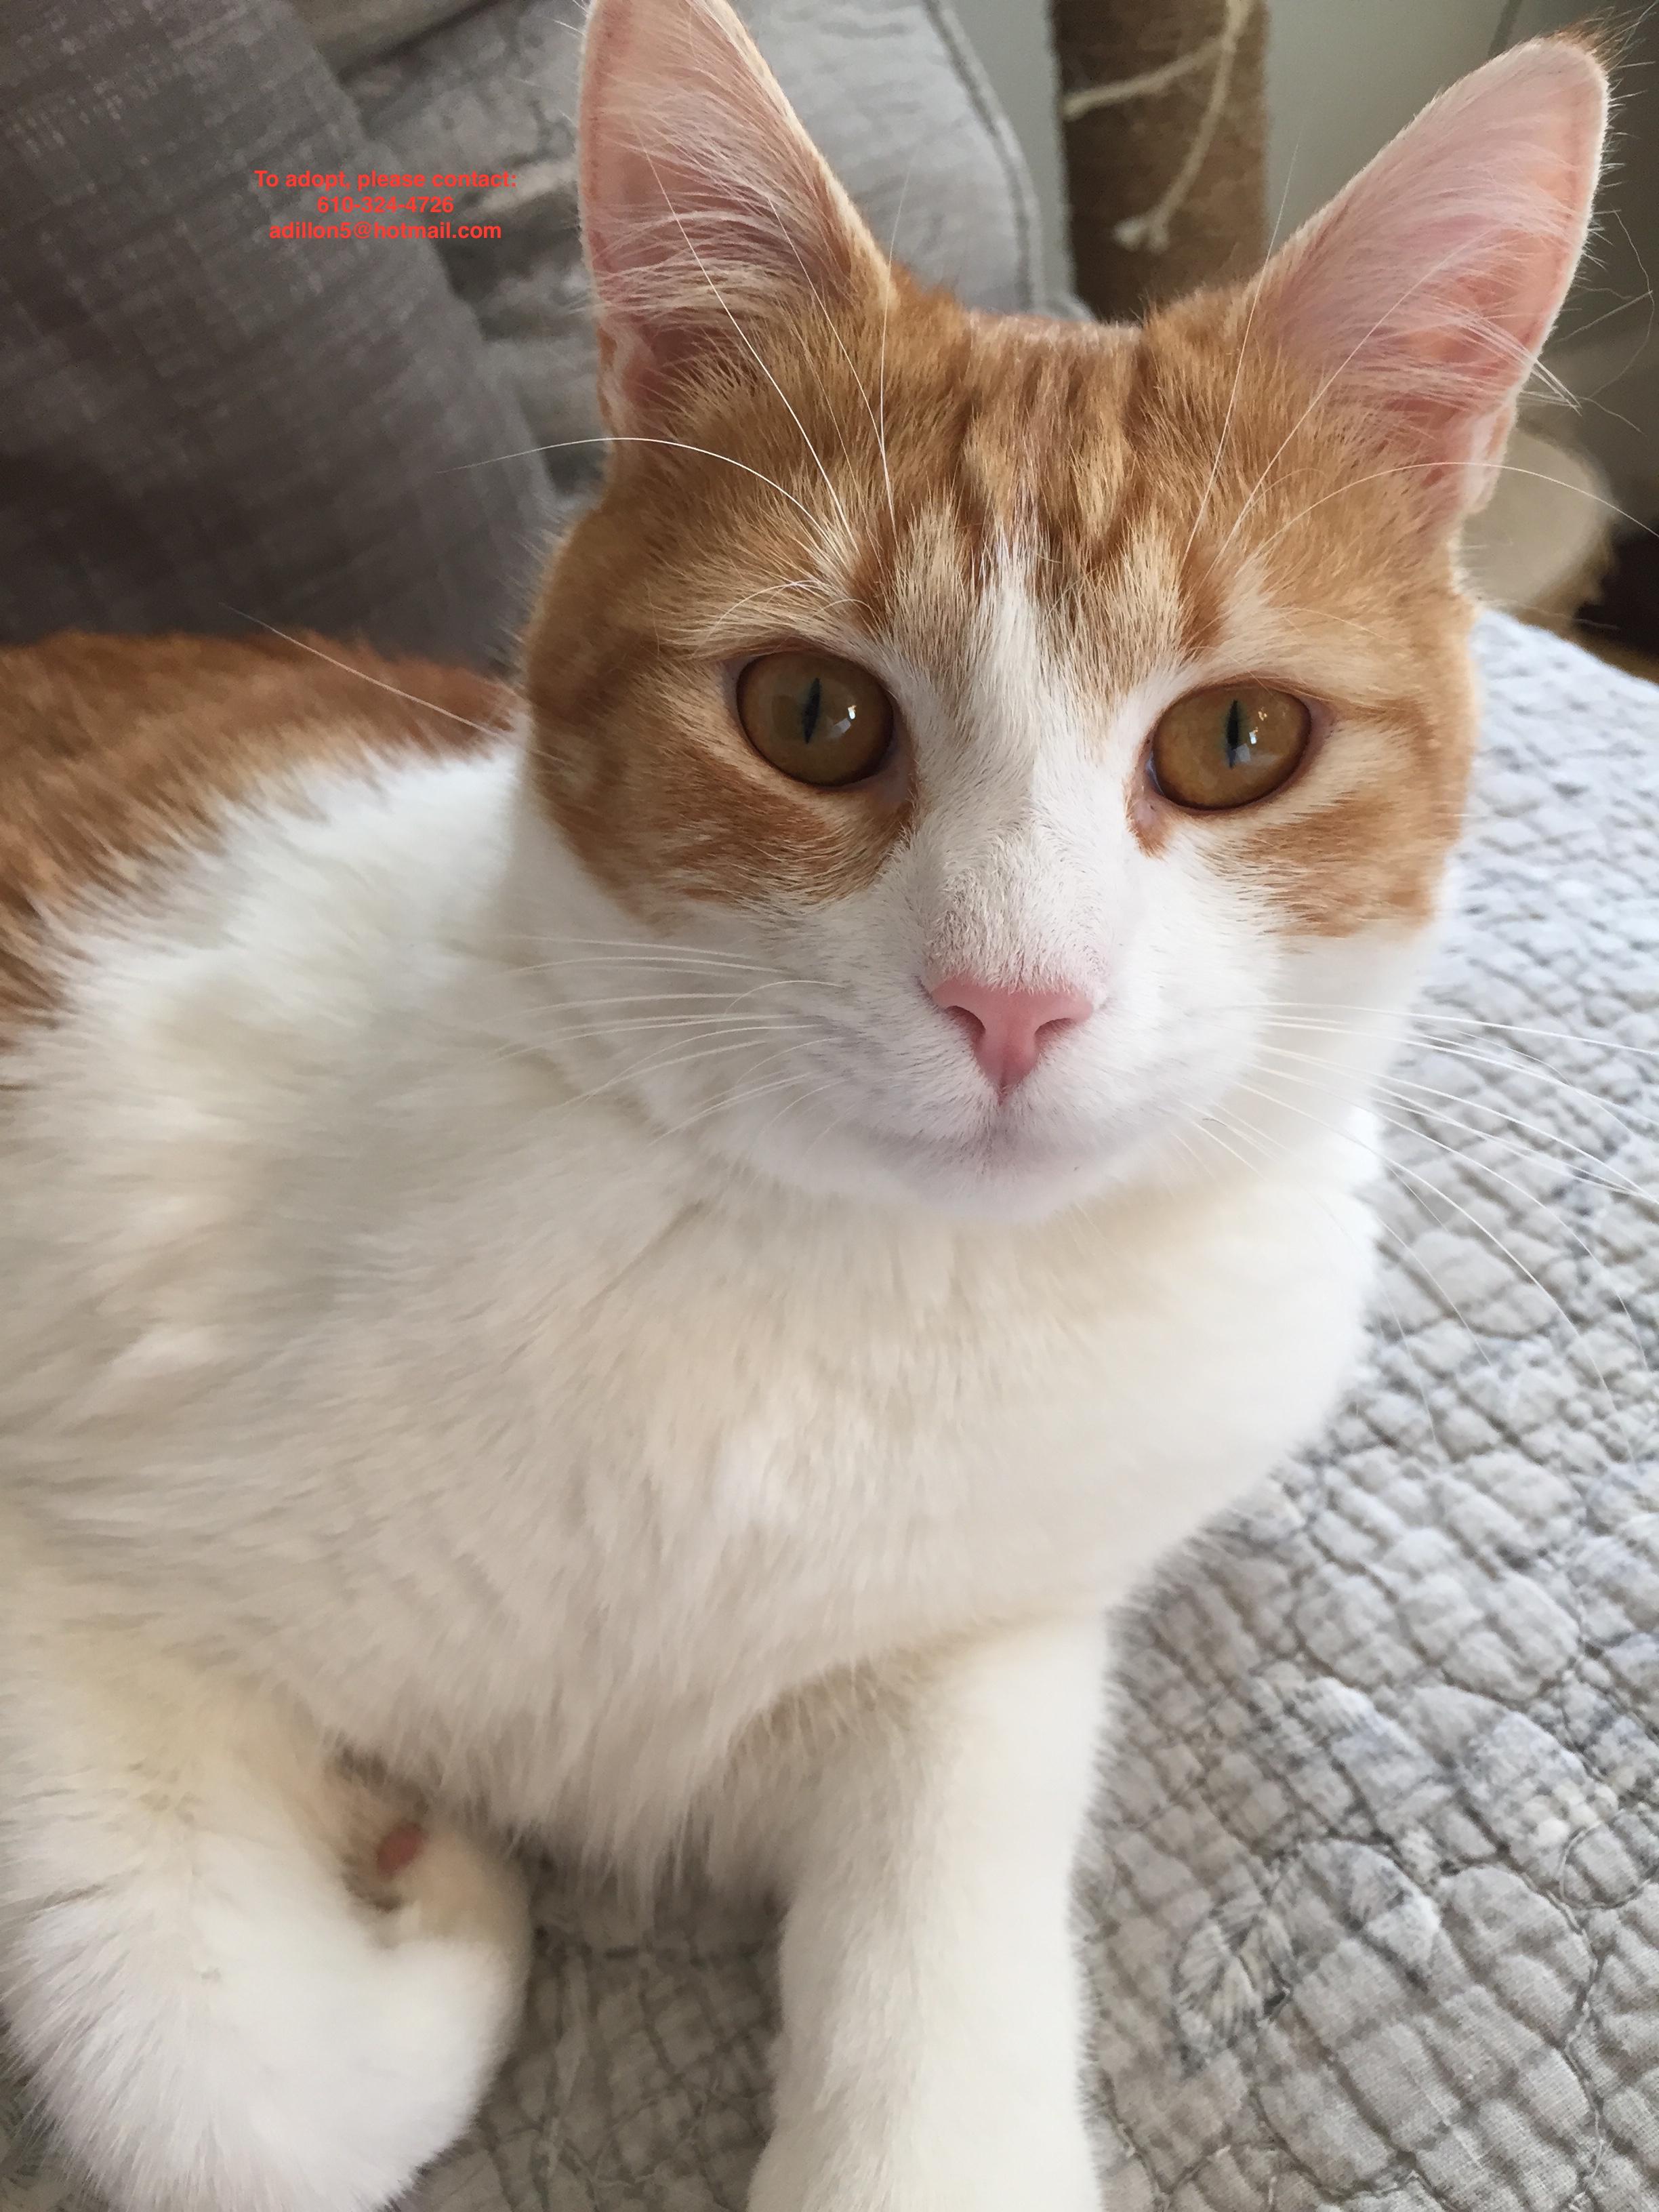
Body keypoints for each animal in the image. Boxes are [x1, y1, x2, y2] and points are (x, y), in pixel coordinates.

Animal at [0, 4, 1610, 2212]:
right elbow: (226, 2079)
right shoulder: (68, 1582)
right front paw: (444, 1887)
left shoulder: (981, 1637)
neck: (846, 1284)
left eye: (1237, 739)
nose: (1013, 996)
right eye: (813, 713)